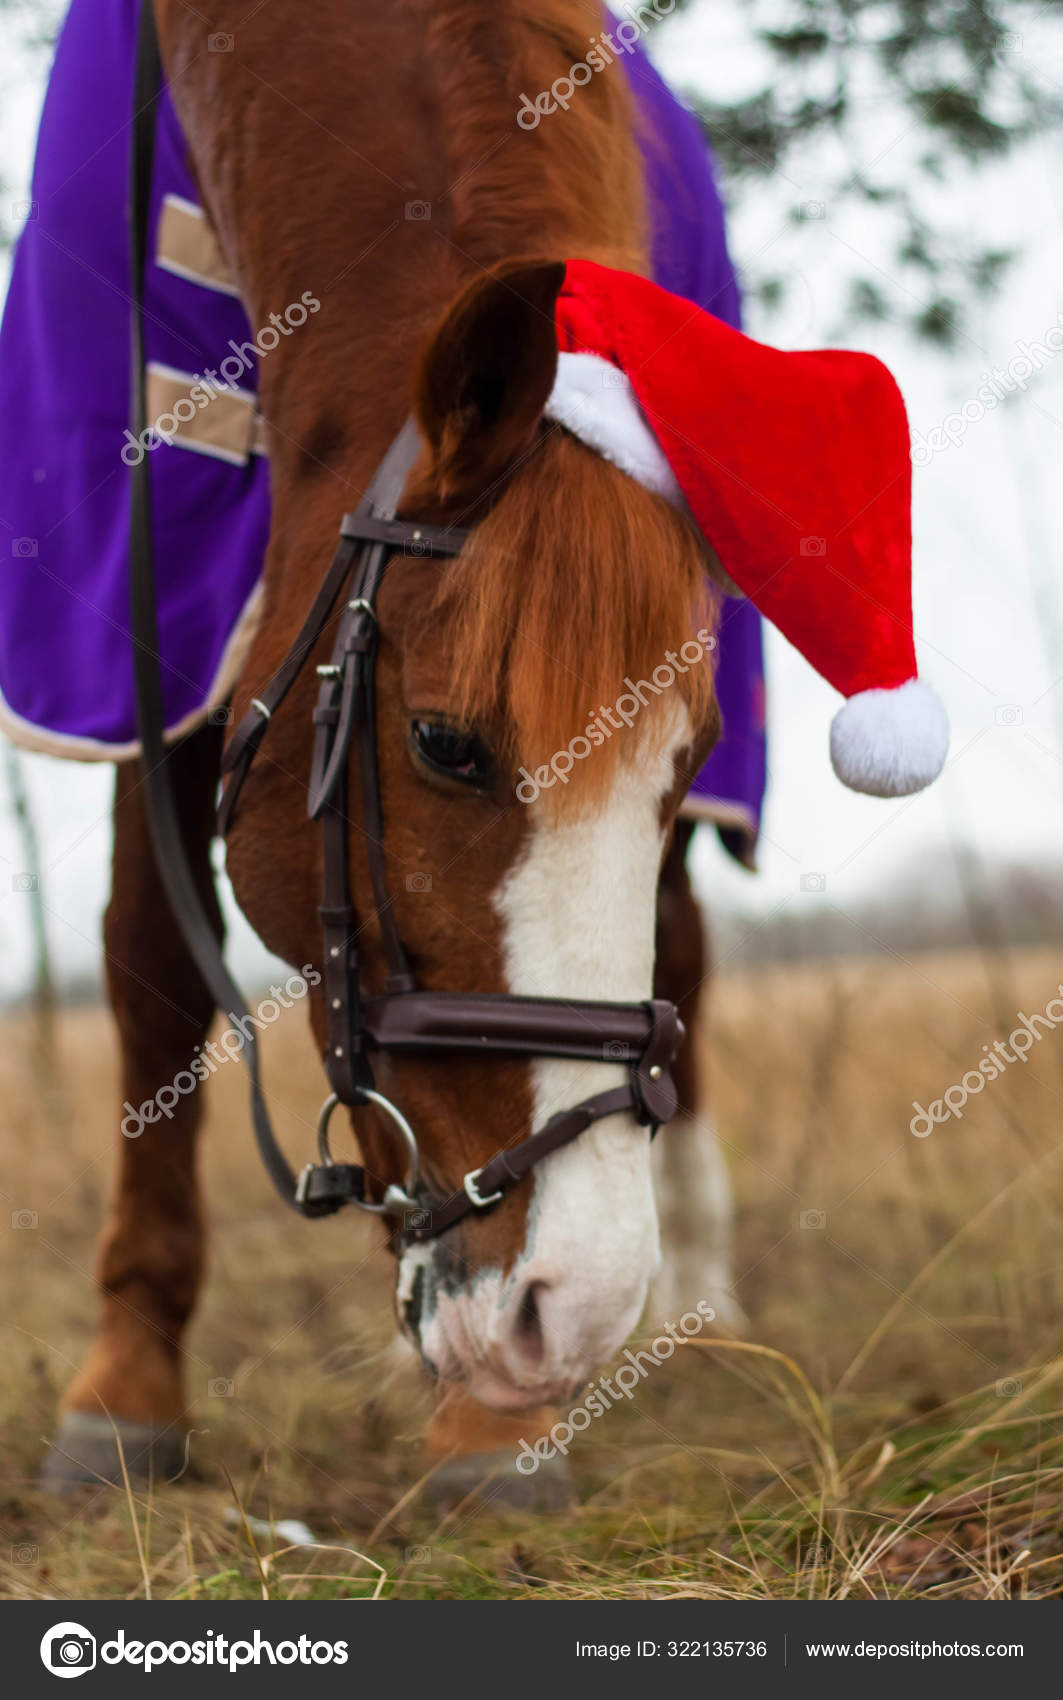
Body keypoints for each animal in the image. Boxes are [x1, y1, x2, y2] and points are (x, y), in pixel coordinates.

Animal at [37, 0, 743, 1501]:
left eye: (683, 756)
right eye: (444, 742)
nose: (572, 1309)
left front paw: (492, 1431)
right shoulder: (147, 612)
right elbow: (149, 973)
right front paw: (126, 1386)